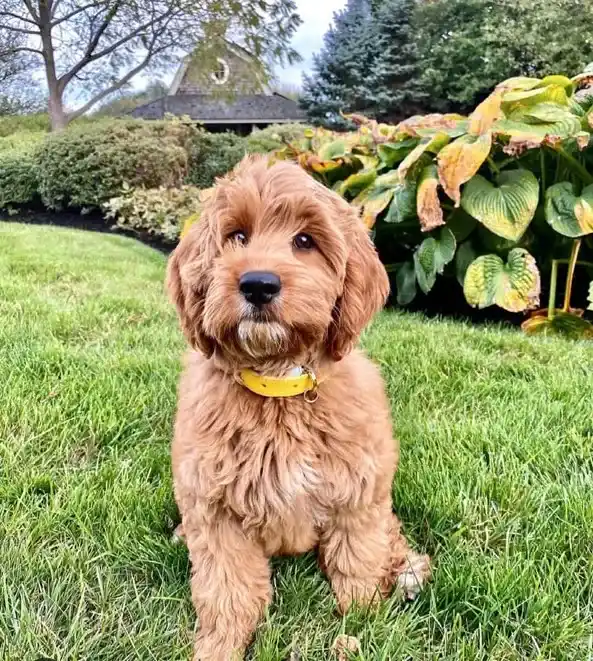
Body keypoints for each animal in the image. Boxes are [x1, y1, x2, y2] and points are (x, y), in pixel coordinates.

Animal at [166, 156, 430, 660]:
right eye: (237, 236)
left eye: (305, 241)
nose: (258, 284)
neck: (279, 386)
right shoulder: (215, 508)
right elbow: (226, 589)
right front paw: (219, 645)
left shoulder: (358, 491)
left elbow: (358, 559)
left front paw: (364, 619)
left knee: (390, 535)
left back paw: (408, 571)